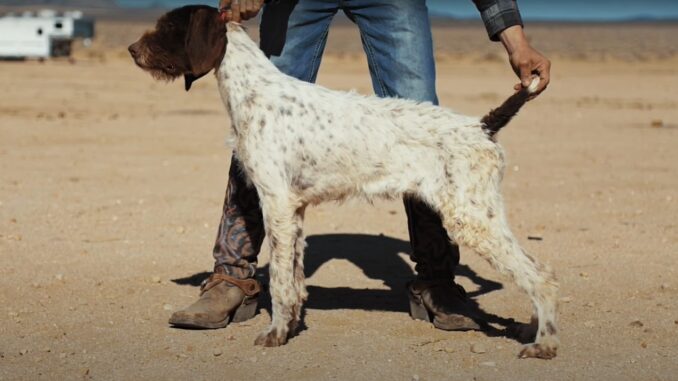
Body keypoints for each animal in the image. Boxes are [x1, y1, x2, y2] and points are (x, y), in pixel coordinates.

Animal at [130, 4, 560, 358]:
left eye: (169, 27)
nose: (133, 49)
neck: (255, 92)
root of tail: (482, 126)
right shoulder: (292, 211)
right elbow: (295, 279)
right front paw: (290, 326)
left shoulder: (277, 205)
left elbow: (281, 282)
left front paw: (275, 334)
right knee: (537, 270)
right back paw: (531, 331)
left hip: (471, 218)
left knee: (540, 276)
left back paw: (544, 344)